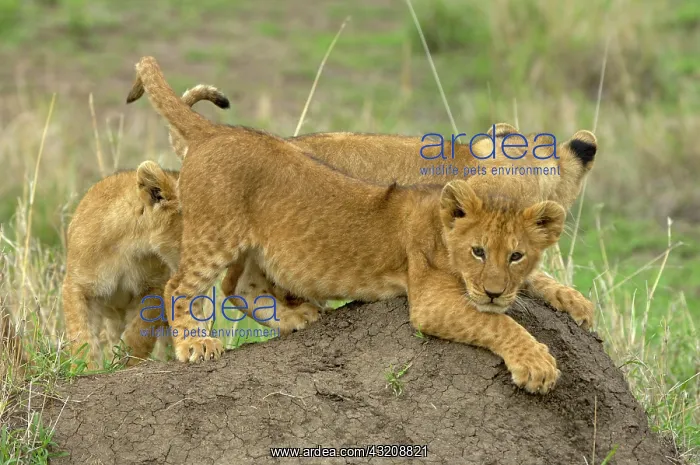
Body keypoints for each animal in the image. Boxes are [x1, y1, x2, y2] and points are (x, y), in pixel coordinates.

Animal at [61, 85, 229, 369]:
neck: (130, 248)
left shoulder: (155, 287)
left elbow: (140, 330)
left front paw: (126, 361)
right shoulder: (75, 284)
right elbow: (80, 334)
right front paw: (86, 368)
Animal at [125, 56, 600, 394]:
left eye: (516, 251)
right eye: (477, 250)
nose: (494, 290)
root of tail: (214, 132)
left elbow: (533, 279)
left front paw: (572, 302)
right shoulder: (430, 296)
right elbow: (494, 320)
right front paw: (536, 357)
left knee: (238, 286)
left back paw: (298, 318)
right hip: (218, 233)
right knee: (185, 288)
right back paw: (195, 345)